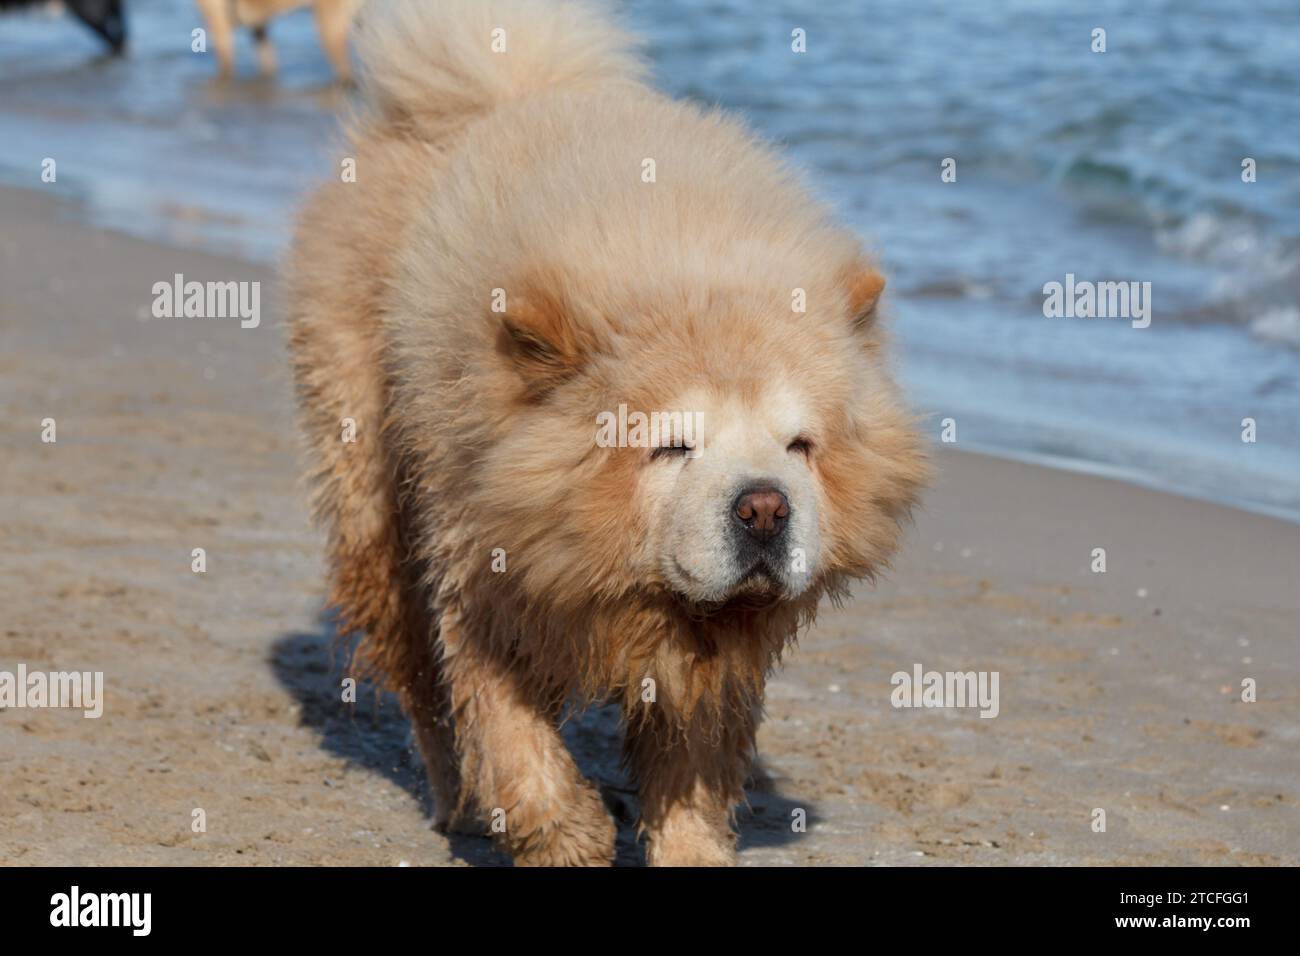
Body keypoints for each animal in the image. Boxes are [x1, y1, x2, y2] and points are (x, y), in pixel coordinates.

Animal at [192, 0, 358, 79]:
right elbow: (269, 66)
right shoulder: (259, 28)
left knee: (346, 74)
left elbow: (226, 68)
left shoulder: (221, 30)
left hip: (330, 28)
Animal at [289, 0, 930, 868]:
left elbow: (694, 768)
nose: (765, 508)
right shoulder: (483, 578)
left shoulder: (713, 652)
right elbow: (513, 739)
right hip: (373, 504)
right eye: (673, 446)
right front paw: (568, 834)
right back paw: (457, 800)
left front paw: (689, 848)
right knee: (421, 679)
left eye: (800, 447)